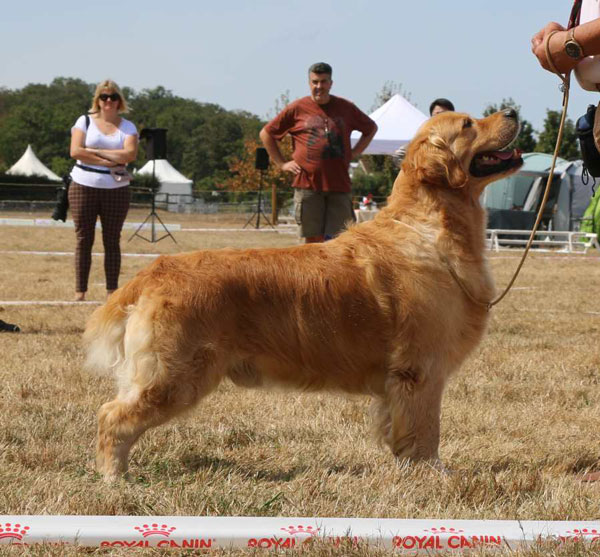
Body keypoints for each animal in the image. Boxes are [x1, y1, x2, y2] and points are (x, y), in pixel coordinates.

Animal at [83, 108, 520, 478]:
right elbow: (426, 430)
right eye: (468, 124)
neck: (429, 229)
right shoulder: (421, 369)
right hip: (174, 375)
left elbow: (398, 430)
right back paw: (113, 477)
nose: (514, 112)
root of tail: (154, 271)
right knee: (110, 416)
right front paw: (434, 474)